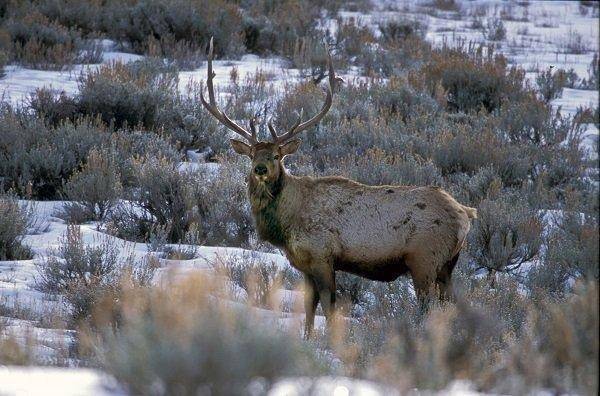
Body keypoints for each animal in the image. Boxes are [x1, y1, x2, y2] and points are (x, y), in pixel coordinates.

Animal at [202, 38, 478, 338]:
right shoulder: (304, 264)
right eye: (252, 154)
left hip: (425, 259)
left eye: (277, 155)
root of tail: (465, 214)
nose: (260, 169)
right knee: (451, 304)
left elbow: (329, 305)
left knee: (430, 307)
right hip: (448, 265)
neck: (287, 223)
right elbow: (309, 305)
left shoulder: (323, 255)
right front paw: (307, 338)